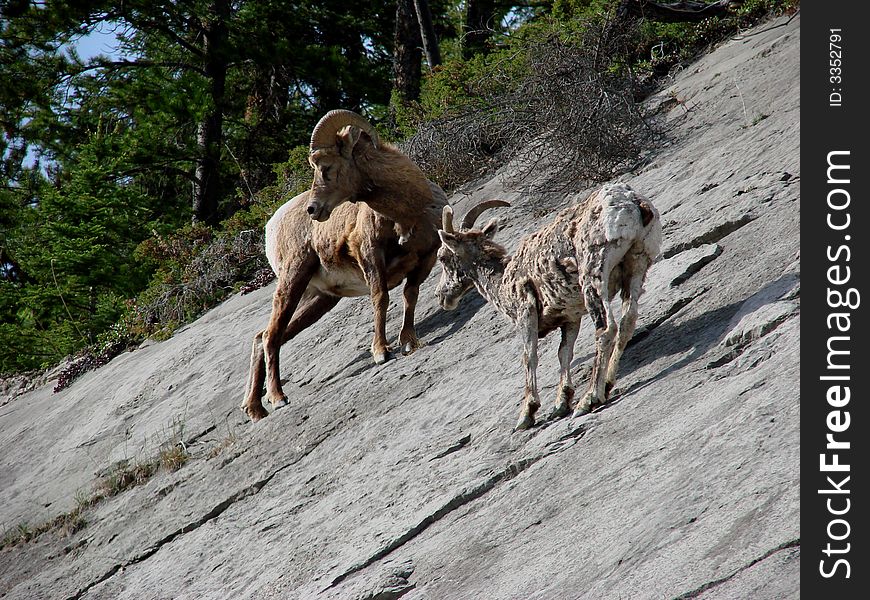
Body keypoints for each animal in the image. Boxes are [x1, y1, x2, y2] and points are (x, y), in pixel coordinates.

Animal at [245, 111, 450, 422]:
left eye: (326, 167)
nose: (313, 210)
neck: (409, 212)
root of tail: (270, 227)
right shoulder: (370, 254)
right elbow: (381, 298)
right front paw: (381, 352)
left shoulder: (425, 259)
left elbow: (409, 296)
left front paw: (408, 342)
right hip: (293, 280)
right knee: (271, 336)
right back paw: (278, 399)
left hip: (318, 299)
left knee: (262, 336)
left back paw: (256, 409)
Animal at [436, 184, 660, 432]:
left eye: (443, 257)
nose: (442, 296)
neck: (503, 280)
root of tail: (633, 204)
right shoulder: (571, 317)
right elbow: (564, 353)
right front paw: (561, 403)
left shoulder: (526, 314)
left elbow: (529, 357)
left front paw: (527, 415)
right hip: (637, 266)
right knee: (627, 323)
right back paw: (608, 385)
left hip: (593, 275)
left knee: (606, 329)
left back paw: (589, 399)